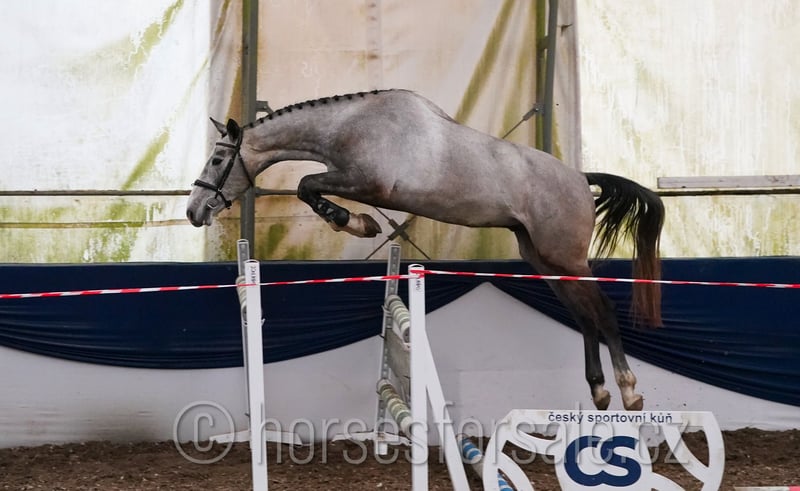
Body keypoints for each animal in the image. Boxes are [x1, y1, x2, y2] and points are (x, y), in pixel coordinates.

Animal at [186, 89, 664, 411]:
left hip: (568, 259)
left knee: (602, 311)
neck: (350, 125)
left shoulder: (368, 182)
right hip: (544, 261)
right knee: (584, 319)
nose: (193, 211)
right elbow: (310, 187)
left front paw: (355, 223)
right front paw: (358, 222)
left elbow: (307, 185)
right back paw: (599, 391)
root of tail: (581, 179)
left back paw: (628, 390)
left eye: (216, 161)